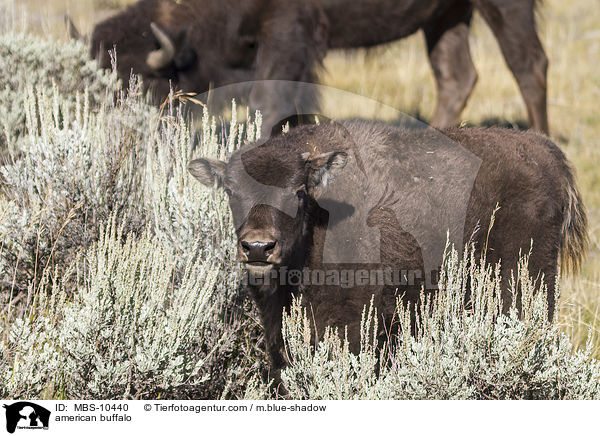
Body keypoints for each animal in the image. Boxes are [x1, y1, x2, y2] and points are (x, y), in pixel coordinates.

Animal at [89, 0, 548, 133]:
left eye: (150, 79)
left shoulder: (287, 31)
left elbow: (269, 103)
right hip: (445, 17)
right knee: (456, 77)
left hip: (504, 7)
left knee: (529, 66)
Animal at [190, 120, 588, 378]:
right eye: (231, 191)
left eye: (297, 191)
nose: (258, 247)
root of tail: (548, 156)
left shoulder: (352, 321)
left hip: (523, 283)